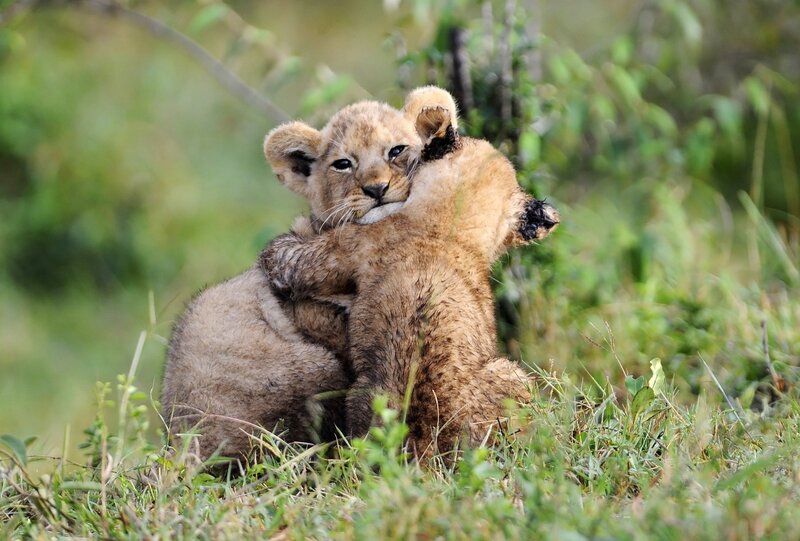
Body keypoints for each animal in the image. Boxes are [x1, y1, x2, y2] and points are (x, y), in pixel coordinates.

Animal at [260, 106, 560, 460]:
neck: (444, 226)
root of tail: (423, 444)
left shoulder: (344, 246)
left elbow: (282, 258)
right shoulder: (352, 244)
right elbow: (282, 257)